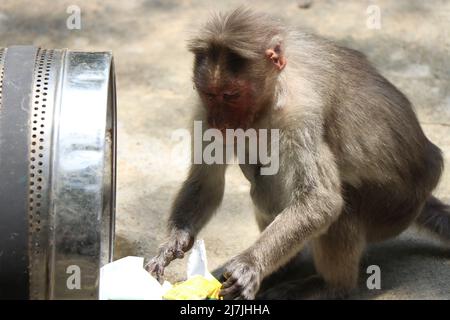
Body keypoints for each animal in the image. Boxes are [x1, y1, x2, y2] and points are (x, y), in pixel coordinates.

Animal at [146, 8, 448, 300]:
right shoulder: (203, 112)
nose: (220, 121)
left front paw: (250, 264)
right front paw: (174, 242)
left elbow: (321, 200)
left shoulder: (299, 111)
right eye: (210, 94)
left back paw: (331, 286)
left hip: (392, 209)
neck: (270, 95)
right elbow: (206, 182)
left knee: (339, 207)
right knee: (262, 183)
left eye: (231, 95)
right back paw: (281, 269)